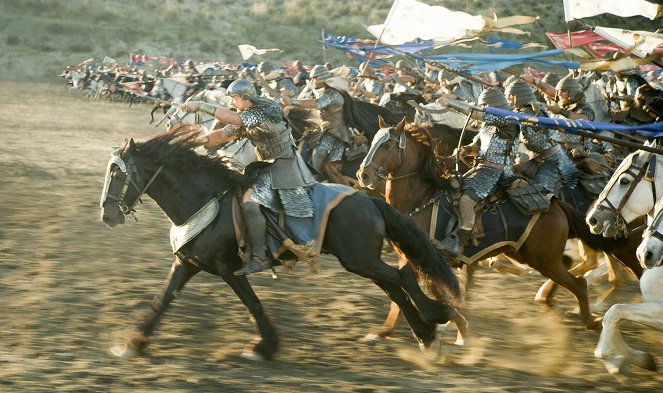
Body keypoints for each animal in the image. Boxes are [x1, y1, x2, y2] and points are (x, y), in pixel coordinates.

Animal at [101, 127, 464, 360]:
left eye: (118, 175)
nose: (107, 215)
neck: (206, 200)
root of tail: (369, 199)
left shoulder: (228, 269)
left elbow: (253, 304)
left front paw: (263, 346)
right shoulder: (187, 264)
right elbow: (163, 299)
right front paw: (134, 342)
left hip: (359, 259)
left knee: (400, 278)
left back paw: (436, 319)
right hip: (362, 260)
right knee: (394, 285)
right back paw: (426, 335)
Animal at [358, 116, 644, 330]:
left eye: (386, 147)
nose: (363, 175)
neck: (423, 198)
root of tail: (554, 203)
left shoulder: (427, 260)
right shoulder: (412, 259)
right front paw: (386, 331)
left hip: (547, 259)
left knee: (584, 282)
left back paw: (590, 319)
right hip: (529, 254)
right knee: (581, 268)